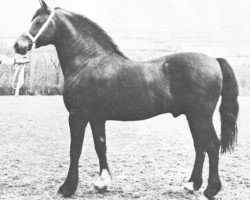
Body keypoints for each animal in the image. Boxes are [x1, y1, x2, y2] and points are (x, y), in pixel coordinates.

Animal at [13, 0, 238, 199]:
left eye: (39, 21)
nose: (18, 45)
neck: (88, 61)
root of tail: (214, 60)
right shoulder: (96, 118)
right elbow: (100, 146)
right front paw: (102, 183)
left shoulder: (77, 116)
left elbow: (75, 150)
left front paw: (67, 188)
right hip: (193, 117)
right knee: (200, 146)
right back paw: (192, 184)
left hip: (201, 116)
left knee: (212, 145)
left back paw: (211, 190)